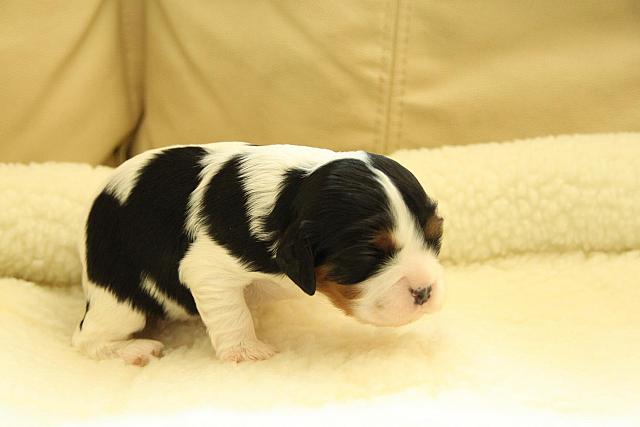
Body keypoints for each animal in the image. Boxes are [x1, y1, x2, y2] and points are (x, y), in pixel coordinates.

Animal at [72, 142, 444, 365]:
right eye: (367, 255)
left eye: (435, 236)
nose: (424, 292)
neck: (290, 192)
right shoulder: (207, 270)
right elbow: (232, 314)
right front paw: (246, 351)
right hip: (120, 299)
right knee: (87, 338)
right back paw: (134, 349)